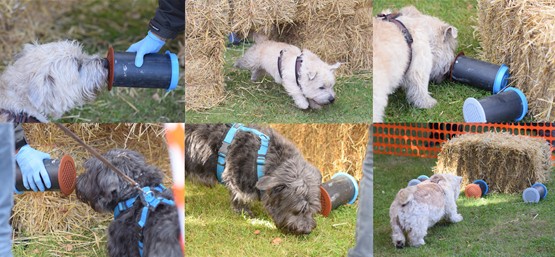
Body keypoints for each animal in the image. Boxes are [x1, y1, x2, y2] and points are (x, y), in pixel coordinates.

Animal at [187, 123, 324, 234]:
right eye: (300, 209)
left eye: (314, 209)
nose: (307, 230)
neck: (261, 158)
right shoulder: (236, 180)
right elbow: (240, 198)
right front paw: (244, 213)